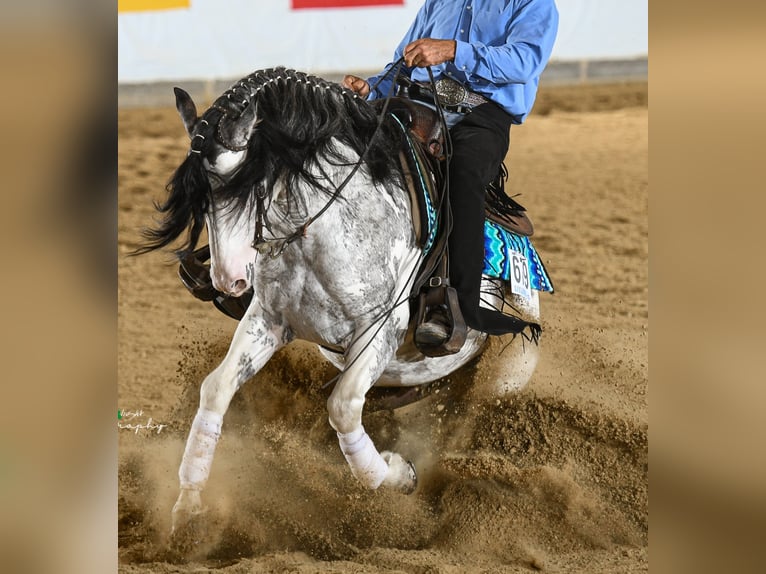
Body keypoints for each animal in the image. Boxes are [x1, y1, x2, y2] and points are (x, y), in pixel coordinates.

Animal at [137, 67, 547, 535]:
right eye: (201, 198)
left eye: (250, 187)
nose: (228, 279)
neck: (321, 224)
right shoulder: (268, 319)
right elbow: (217, 389)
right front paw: (187, 509)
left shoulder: (380, 329)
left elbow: (344, 408)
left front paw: (396, 475)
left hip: (509, 368)